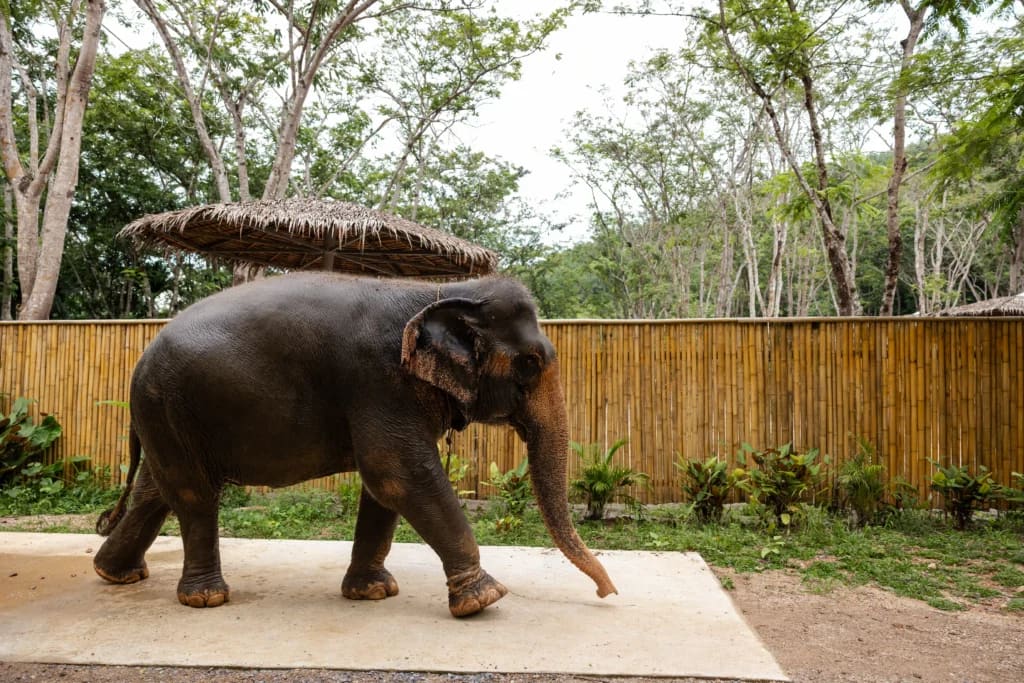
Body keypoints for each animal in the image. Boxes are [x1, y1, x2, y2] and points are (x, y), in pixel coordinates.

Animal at [93, 272, 617, 617]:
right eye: (529, 363)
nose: (607, 594)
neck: (442, 290)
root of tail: (142, 357)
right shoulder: (378, 380)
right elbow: (397, 473)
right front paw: (484, 600)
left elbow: (384, 486)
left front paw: (373, 594)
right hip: (170, 404)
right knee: (194, 492)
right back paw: (205, 599)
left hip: (167, 415)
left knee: (156, 491)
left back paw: (114, 575)